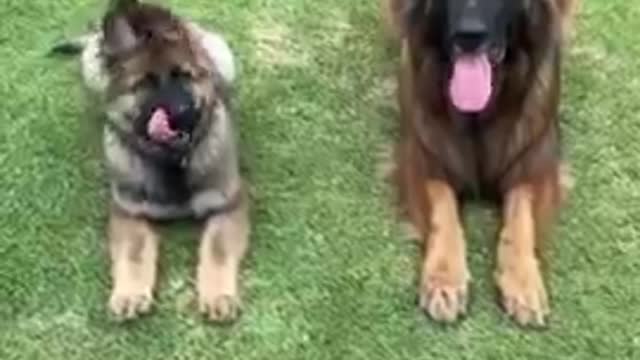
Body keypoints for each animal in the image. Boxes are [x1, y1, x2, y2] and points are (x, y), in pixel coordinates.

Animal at [51, 0, 248, 320]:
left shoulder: (228, 204)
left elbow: (216, 248)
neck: (172, 161)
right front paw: (130, 293)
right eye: (145, 83)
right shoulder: (128, 211)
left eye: (184, 76)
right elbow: (134, 252)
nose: (181, 111)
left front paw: (218, 295)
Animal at [384, 0, 580, 326]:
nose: (469, 36)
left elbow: (521, 219)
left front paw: (523, 282)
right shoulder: (421, 159)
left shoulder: (536, 164)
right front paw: (445, 279)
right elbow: (443, 208)